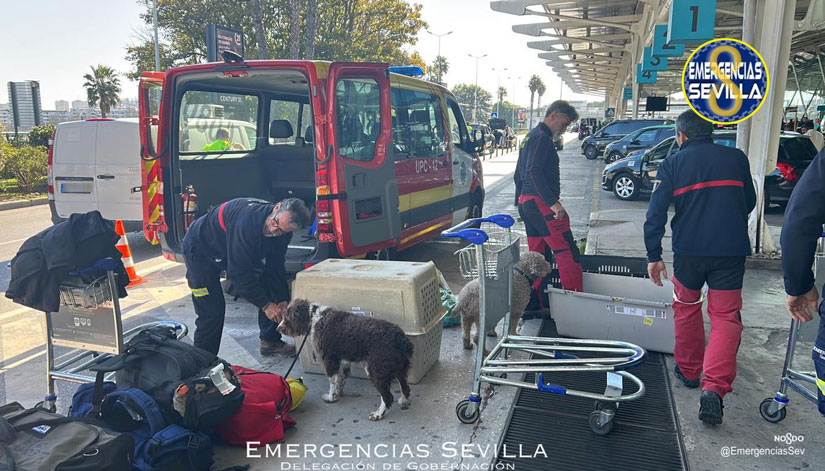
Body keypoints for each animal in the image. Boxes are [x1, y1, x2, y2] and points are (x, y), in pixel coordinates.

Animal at [280, 300, 416, 422]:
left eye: (286, 317)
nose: (278, 328)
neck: (314, 317)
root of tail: (400, 338)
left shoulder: (328, 360)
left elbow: (332, 381)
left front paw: (331, 397)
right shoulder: (343, 361)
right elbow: (340, 378)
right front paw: (338, 392)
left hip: (376, 370)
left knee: (388, 397)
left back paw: (378, 414)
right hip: (399, 368)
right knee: (405, 387)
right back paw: (404, 401)